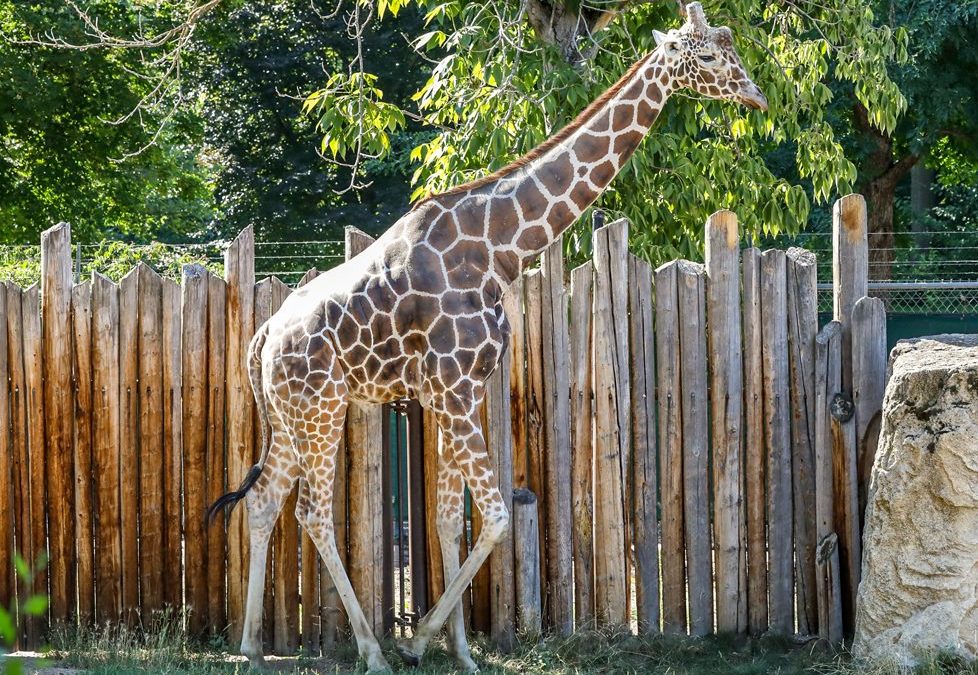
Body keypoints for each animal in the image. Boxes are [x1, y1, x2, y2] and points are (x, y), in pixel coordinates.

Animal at [206, 3, 767, 672]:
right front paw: (417, 640)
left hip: (291, 414)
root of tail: (264, 336)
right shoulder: (452, 389)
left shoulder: (461, 391)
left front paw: (460, 651)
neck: (501, 249)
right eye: (706, 56)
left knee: (264, 500)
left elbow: (451, 518)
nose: (756, 94)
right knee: (314, 512)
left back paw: (249, 645)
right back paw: (370, 649)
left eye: (730, 48)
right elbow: (496, 515)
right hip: (320, 407)